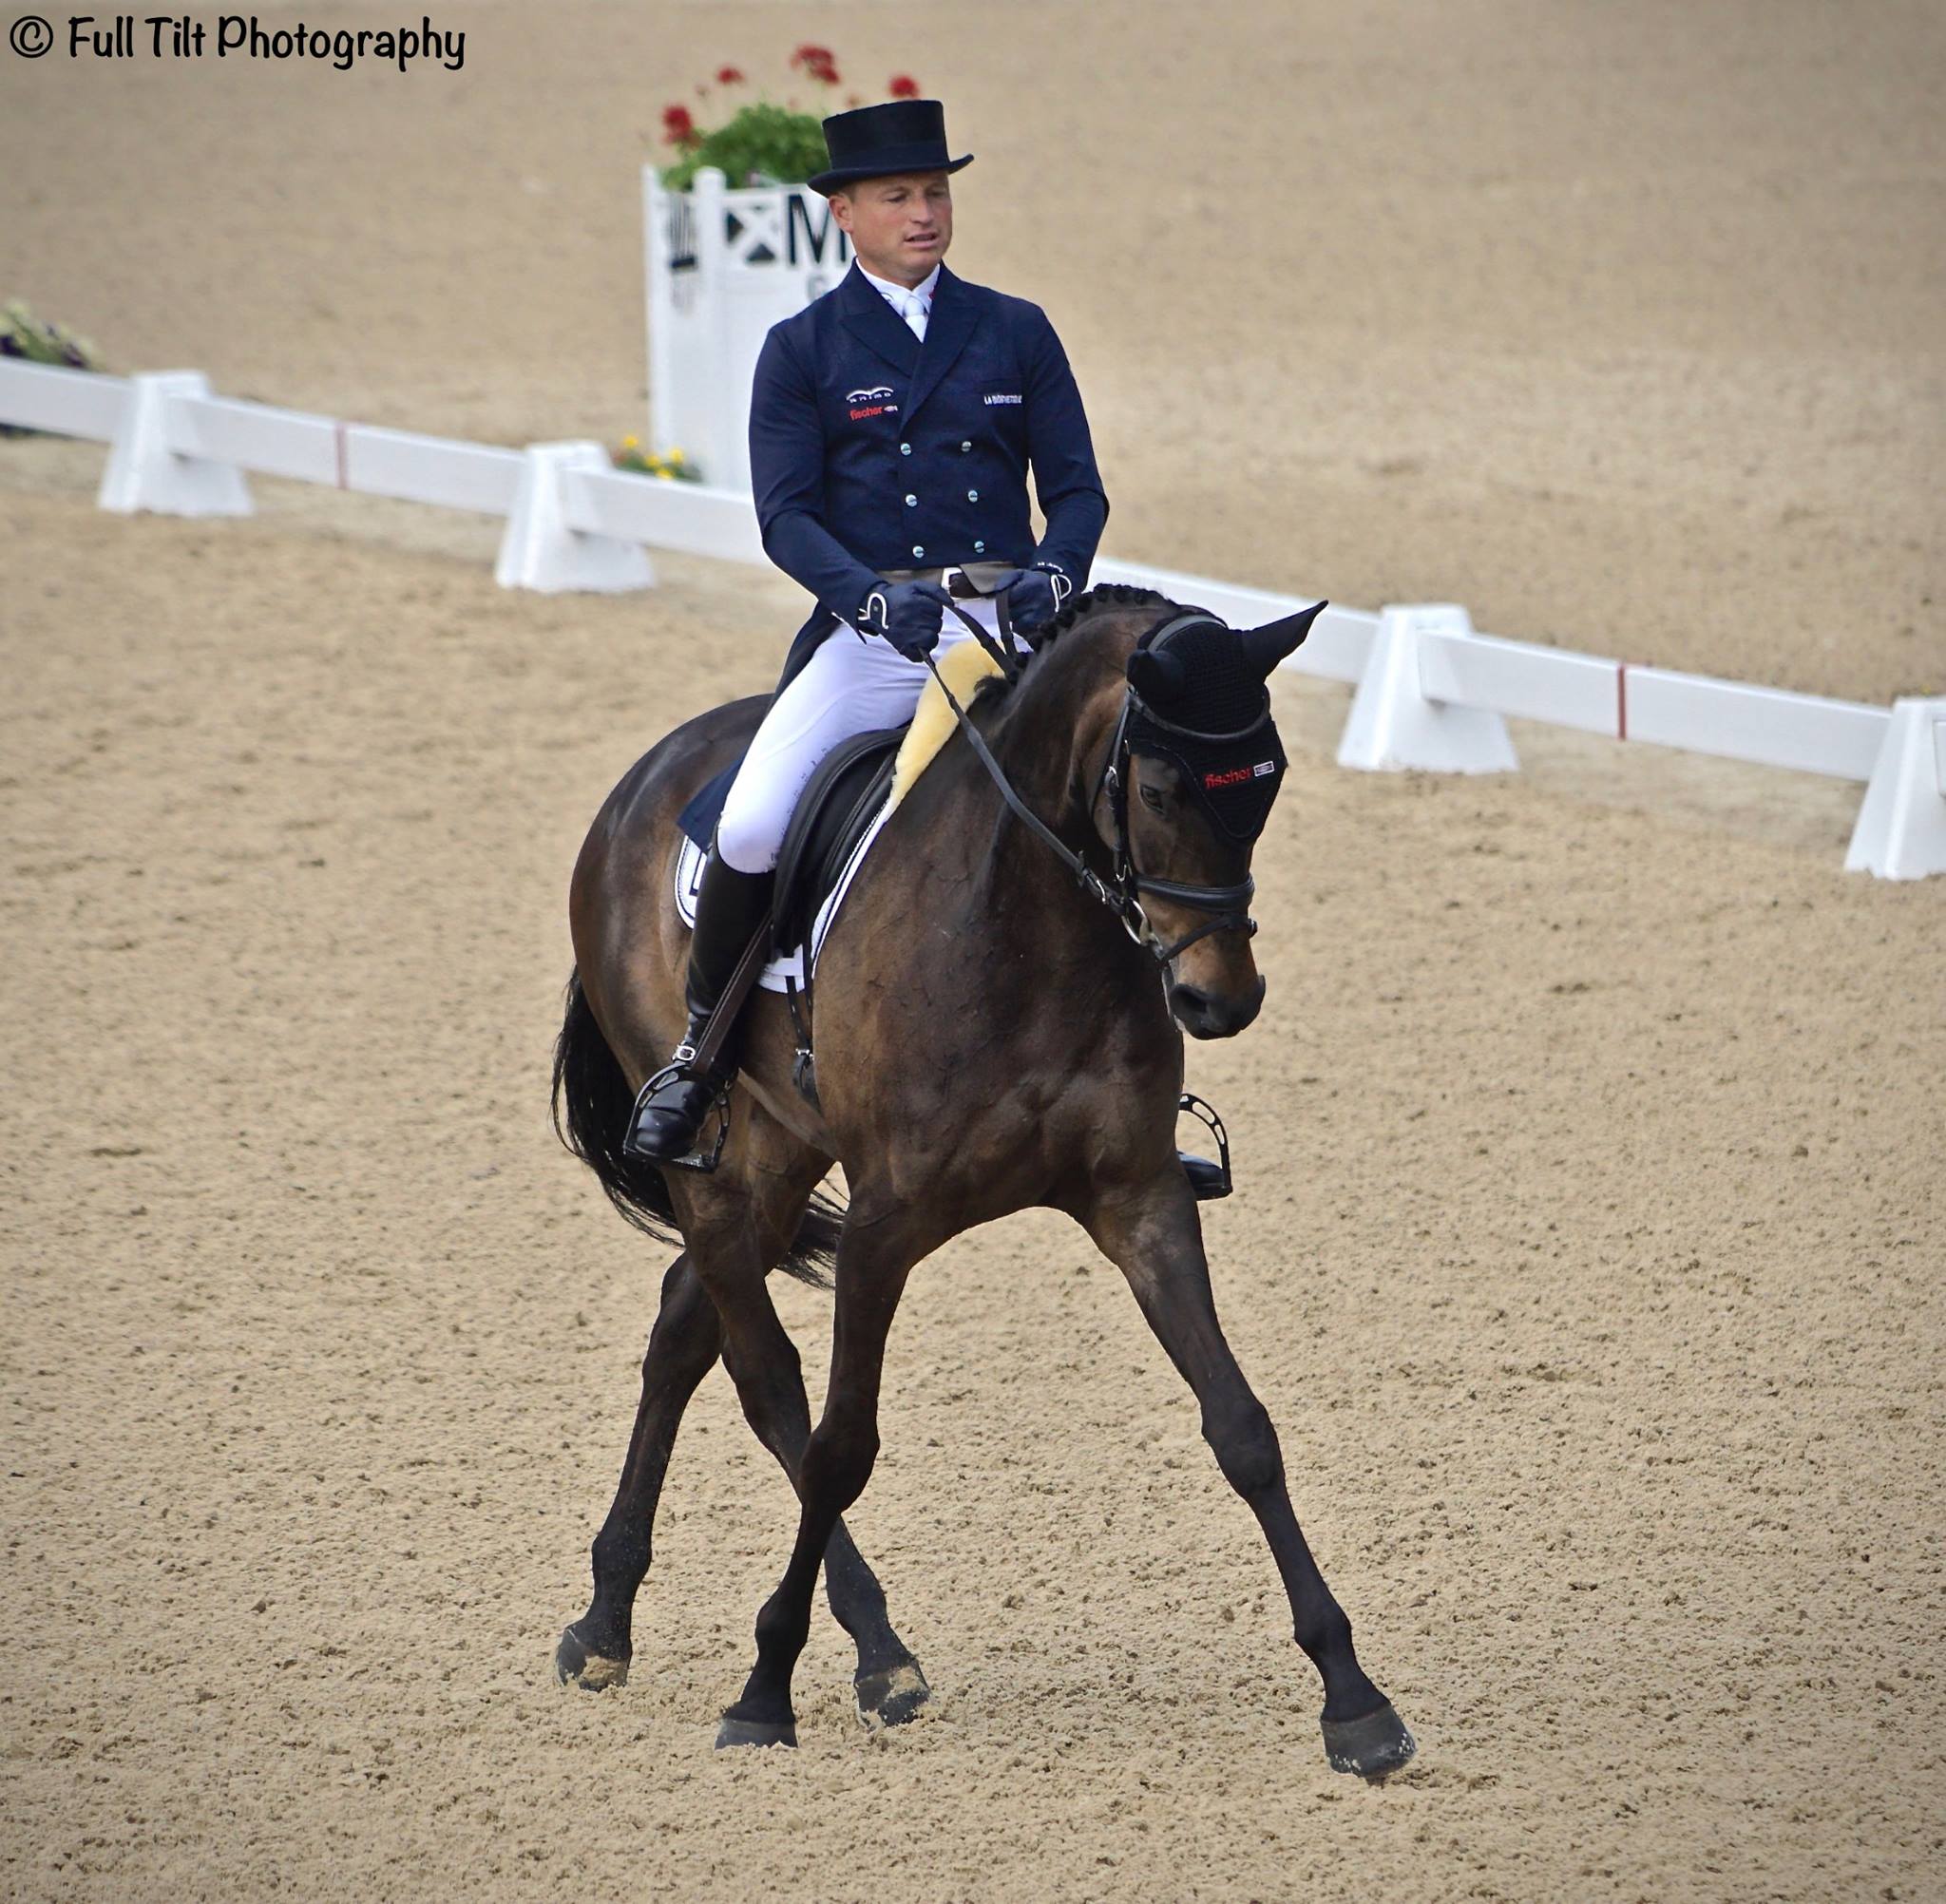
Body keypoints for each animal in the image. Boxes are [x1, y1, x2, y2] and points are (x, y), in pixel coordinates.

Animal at [548, 583, 1416, 1789]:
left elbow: (1240, 1428)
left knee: (685, 1325)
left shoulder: (1139, 1199)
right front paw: (764, 1692)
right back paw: (861, 1652)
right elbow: (840, 1449)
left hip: (774, 1152)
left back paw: (613, 1623)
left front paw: (1354, 1700)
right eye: (1158, 789)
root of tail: (646, 775)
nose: (1219, 999)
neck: (1028, 925)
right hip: (715, 1156)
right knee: (763, 1375)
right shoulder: (881, 1228)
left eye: (1269, 779)